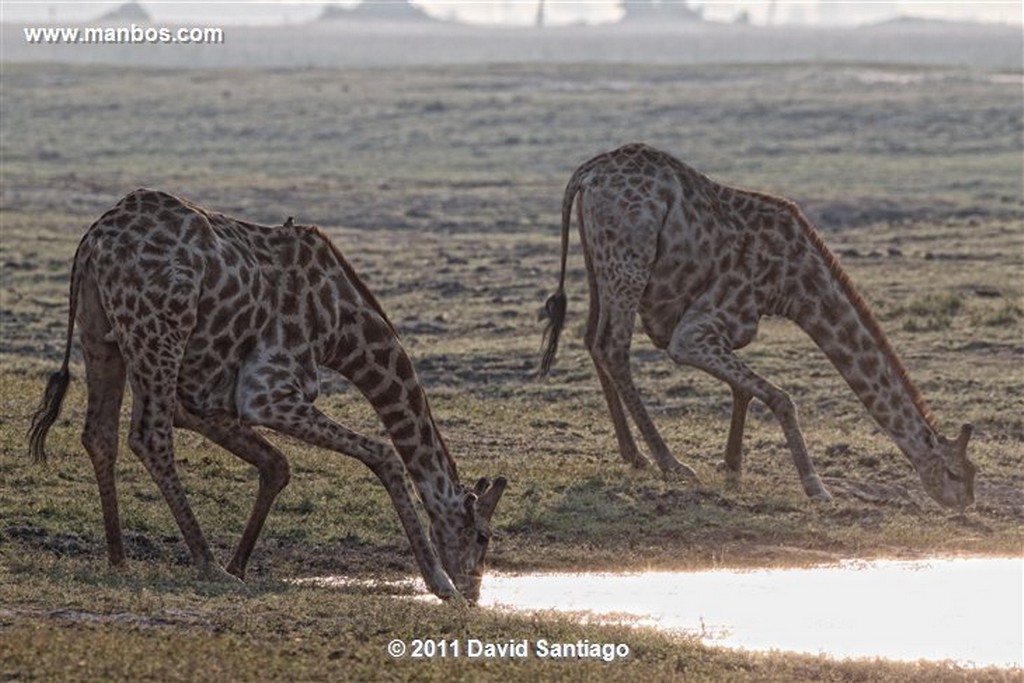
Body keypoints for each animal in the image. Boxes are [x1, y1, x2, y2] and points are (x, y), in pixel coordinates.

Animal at [29, 188, 509, 602]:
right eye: (483, 535)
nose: (474, 593)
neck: (341, 329)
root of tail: (94, 240)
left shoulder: (202, 401)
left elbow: (276, 464)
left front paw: (240, 564)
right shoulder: (267, 393)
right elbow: (384, 454)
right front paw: (439, 582)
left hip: (101, 333)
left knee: (100, 434)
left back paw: (119, 558)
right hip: (160, 330)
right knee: (149, 436)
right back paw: (206, 564)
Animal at [540, 143, 970, 507]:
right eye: (955, 473)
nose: (965, 502)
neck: (795, 286)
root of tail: (586, 173)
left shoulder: (728, 331)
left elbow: (743, 391)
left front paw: (732, 466)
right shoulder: (697, 331)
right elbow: (782, 398)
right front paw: (816, 487)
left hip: (598, 260)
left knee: (593, 339)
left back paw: (635, 456)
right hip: (630, 259)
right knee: (613, 346)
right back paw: (671, 463)